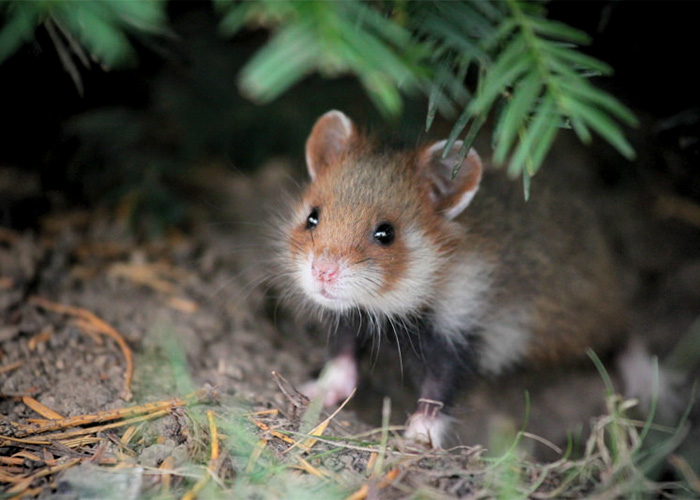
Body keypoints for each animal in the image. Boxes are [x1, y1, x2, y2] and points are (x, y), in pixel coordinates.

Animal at [276, 110, 625, 448]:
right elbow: (343, 354)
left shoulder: (461, 328)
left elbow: (440, 387)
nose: (322, 271)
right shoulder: (354, 315)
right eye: (312, 217)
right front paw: (314, 391)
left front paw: (420, 436)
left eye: (386, 233)